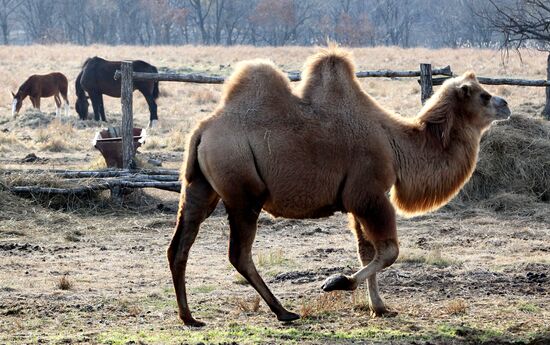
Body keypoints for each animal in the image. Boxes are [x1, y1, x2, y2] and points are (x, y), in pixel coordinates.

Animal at [169, 46, 512, 326]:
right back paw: (284, 312)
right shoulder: (370, 195)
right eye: (483, 95)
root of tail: (202, 130)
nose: (506, 104)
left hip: (200, 187)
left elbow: (367, 251)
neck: (397, 145)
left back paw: (189, 317)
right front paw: (337, 282)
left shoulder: (357, 203)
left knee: (180, 245)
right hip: (244, 195)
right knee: (239, 253)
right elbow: (389, 251)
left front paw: (380, 308)